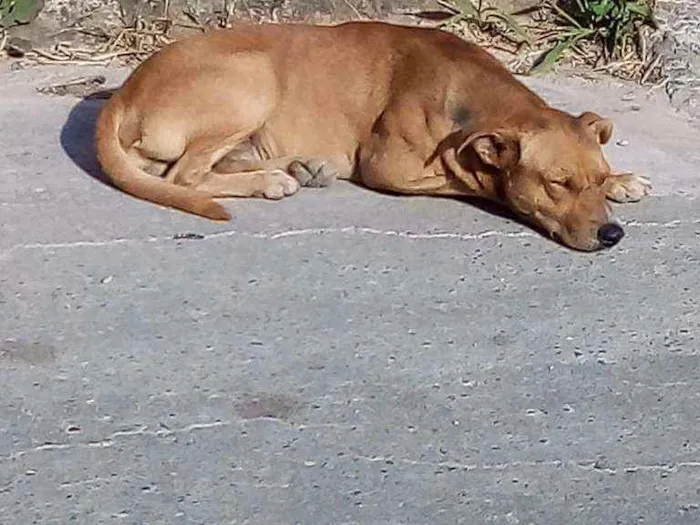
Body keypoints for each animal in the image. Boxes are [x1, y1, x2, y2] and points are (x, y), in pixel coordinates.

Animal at [94, 21, 652, 250]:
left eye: (595, 179)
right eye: (557, 184)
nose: (613, 235)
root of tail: (125, 92)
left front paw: (624, 180)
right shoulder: (390, 167)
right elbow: (472, 179)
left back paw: (295, 167)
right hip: (253, 79)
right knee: (185, 176)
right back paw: (272, 179)